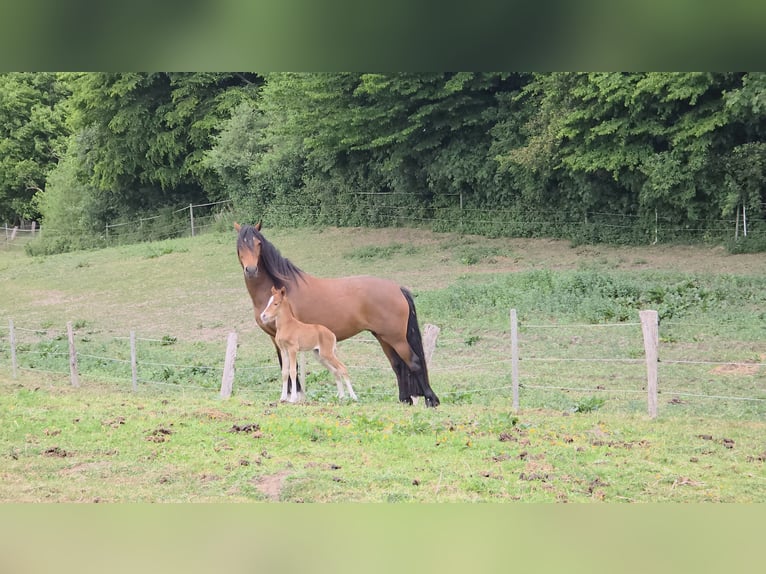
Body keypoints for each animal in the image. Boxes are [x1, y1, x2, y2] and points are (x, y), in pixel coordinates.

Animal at [234, 222, 440, 407]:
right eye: (240, 245)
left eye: (258, 243)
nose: (251, 270)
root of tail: (397, 288)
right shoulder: (275, 339)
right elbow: (285, 367)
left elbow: (293, 368)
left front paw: (295, 397)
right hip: (383, 337)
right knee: (397, 364)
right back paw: (405, 400)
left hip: (396, 338)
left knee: (413, 362)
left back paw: (431, 399)